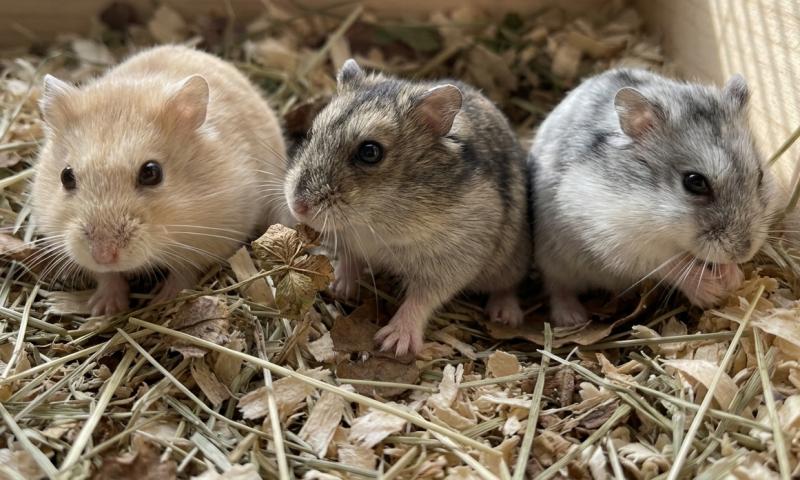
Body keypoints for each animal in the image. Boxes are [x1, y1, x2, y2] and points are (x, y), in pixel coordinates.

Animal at [30, 45, 289, 316]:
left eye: (151, 172)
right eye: (66, 176)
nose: (103, 255)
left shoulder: (214, 237)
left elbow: (184, 271)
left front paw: (163, 301)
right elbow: (106, 277)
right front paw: (105, 308)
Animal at [284, 59, 530, 356]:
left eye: (370, 152)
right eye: (311, 134)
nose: (298, 206)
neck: (372, 221)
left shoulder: (451, 260)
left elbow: (422, 299)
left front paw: (393, 342)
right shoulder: (349, 241)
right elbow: (349, 259)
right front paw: (339, 287)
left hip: (512, 259)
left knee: (508, 285)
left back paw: (506, 315)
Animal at [530, 68, 779, 327]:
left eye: (760, 175)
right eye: (694, 181)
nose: (743, 252)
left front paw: (733, 278)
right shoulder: (623, 243)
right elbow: (670, 265)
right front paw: (711, 292)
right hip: (552, 256)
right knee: (557, 286)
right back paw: (572, 318)